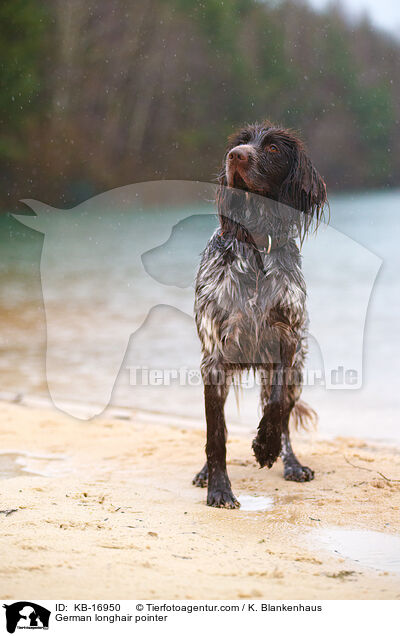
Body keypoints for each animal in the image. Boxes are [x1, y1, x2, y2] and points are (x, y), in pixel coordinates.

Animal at [192, 120, 326, 506]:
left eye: (273, 148)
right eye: (241, 143)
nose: (234, 156)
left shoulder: (287, 341)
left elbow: (278, 408)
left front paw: (266, 447)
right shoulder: (214, 359)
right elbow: (216, 435)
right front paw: (219, 488)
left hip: (296, 372)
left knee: (283, 418)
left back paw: (291, 462)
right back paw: (205, 474)